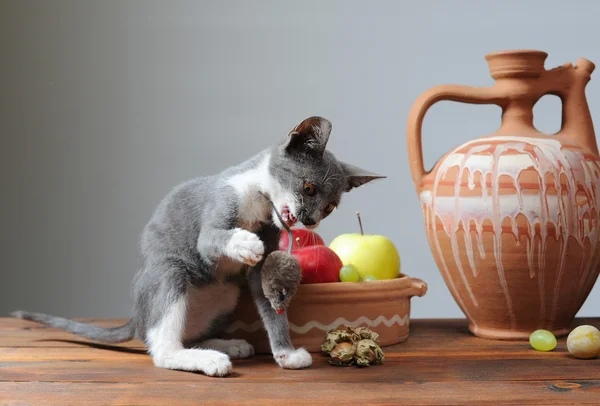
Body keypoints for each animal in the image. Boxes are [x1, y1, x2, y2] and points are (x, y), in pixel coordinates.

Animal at [12, 116, 384, 378]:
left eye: (330, 207)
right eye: (308, 188)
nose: (310, 220)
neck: (259, 206)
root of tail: (137, 318)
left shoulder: (261, 266)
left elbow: (270, 303)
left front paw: (286, 353)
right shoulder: (216, 214)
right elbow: (211, 240)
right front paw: (245, 242)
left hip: (226, 293)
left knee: (179, 334)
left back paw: (227, 345)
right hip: (170, 271)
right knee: (161, 348)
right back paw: (207, 360)